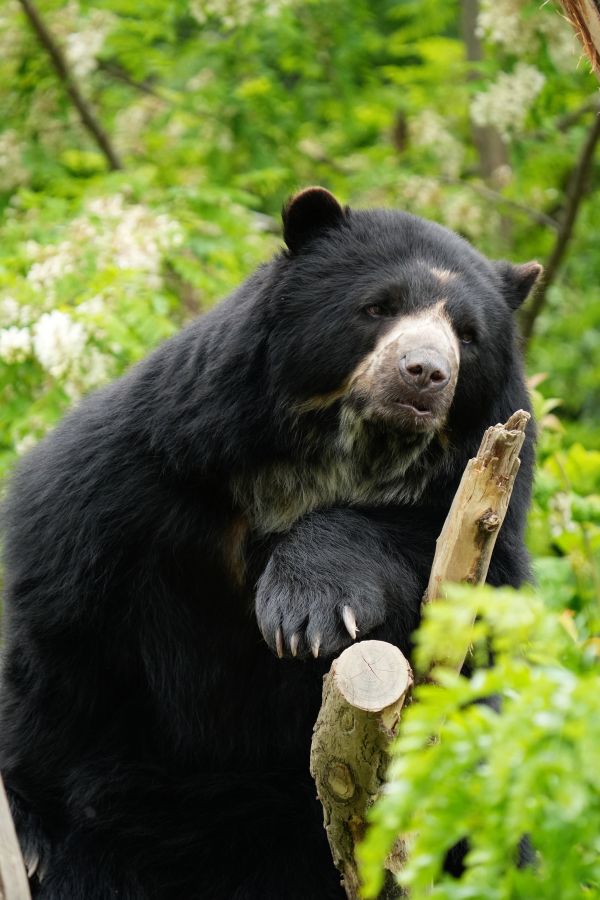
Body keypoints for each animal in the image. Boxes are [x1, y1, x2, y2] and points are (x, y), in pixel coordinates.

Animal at [0, 187, 541, 900]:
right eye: (377, 307)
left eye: (469, 336)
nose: (425, 372)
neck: (328, 460)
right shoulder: (134, 473)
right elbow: (55, 633)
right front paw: (28, 829)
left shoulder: (475, 510)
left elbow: (463, 594)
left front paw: (307, 611)